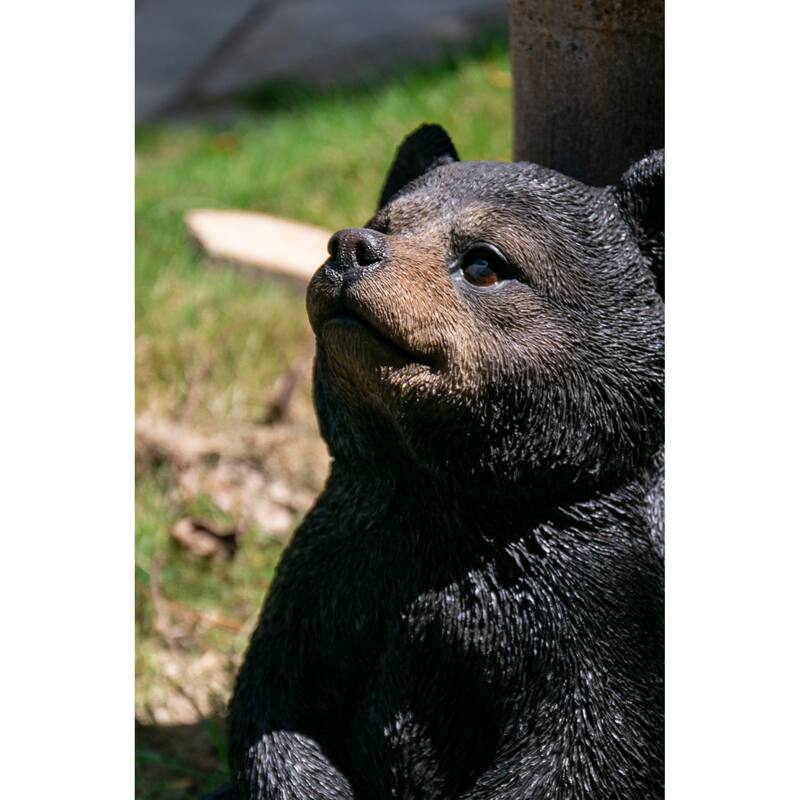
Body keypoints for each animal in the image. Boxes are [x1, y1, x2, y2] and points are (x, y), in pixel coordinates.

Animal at [224, 124, 664, 800]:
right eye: (381, 222)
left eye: (484, 262)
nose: (350, 246)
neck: (445, 509)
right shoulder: (331, 564)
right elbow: (272, 701)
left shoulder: (605, 603)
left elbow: (588, 750)